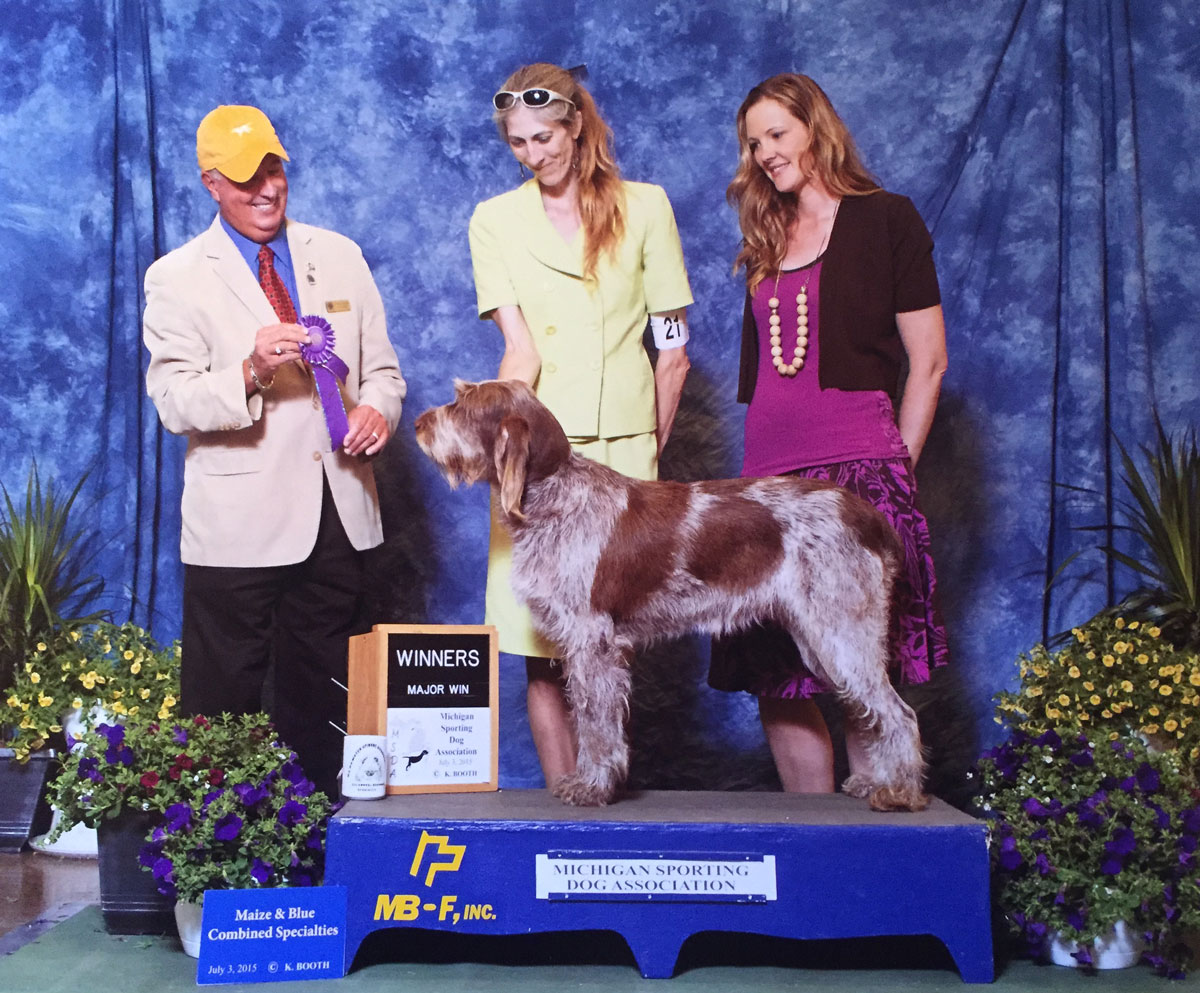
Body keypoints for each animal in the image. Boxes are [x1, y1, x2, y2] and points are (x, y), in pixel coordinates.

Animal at [417, 378, 931, 815]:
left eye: (462, 405)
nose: (420, 423)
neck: (553, 493)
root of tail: (867, 515)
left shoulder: (593, 641)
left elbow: (595, 722)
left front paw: (593, 787)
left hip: (841, 630)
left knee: (900, 714)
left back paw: (900, 792)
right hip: (822, 638)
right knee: (870, 711)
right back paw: (877, 781)